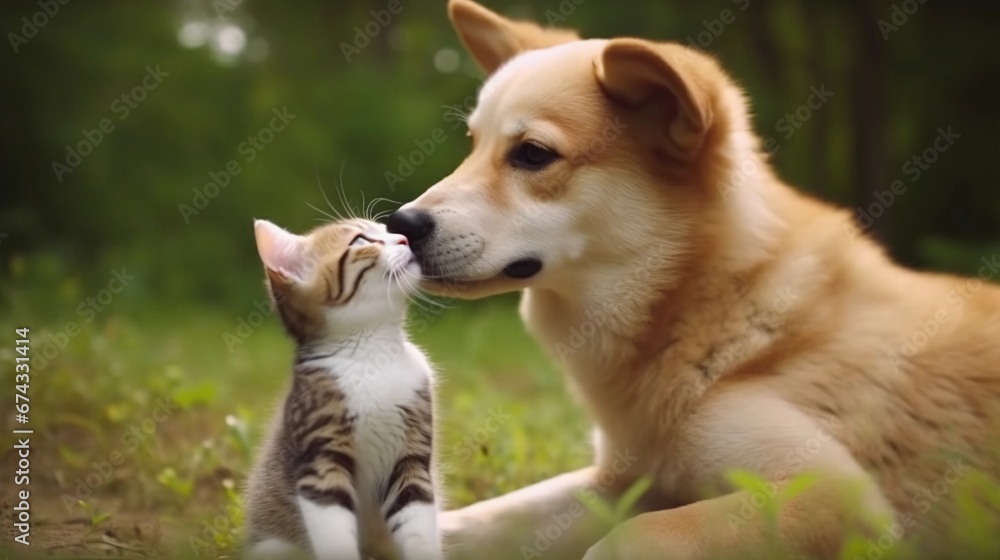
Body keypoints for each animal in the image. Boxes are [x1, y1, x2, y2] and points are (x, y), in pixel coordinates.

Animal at [242, 218, 442, 560]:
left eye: (385, 229)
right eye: (360, 240)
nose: (404, 237)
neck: (374, 354)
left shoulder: (411, 458)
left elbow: (419, 527)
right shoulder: (321, 459)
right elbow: (334, 531)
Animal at [384, 2, 1000, 556]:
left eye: (533, 154)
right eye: (473, 146)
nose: (400, 225)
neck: (698, 309)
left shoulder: (836, 497)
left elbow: (625, 541)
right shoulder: (622, 482)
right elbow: (468, 524)